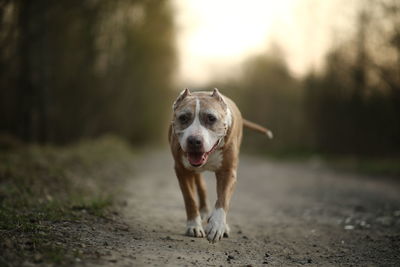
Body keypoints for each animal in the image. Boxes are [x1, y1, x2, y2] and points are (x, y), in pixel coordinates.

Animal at [167, 89, 270, 244]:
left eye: (211, 118)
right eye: (183, 118)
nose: (194, 141)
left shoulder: (228, 172)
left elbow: (223, 199)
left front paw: (217, 225)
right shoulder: (182, 170)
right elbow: (190, 199)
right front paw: (194, 226)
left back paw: (223, 225)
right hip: (194, 170)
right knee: (201, 185)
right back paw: (203, 212)